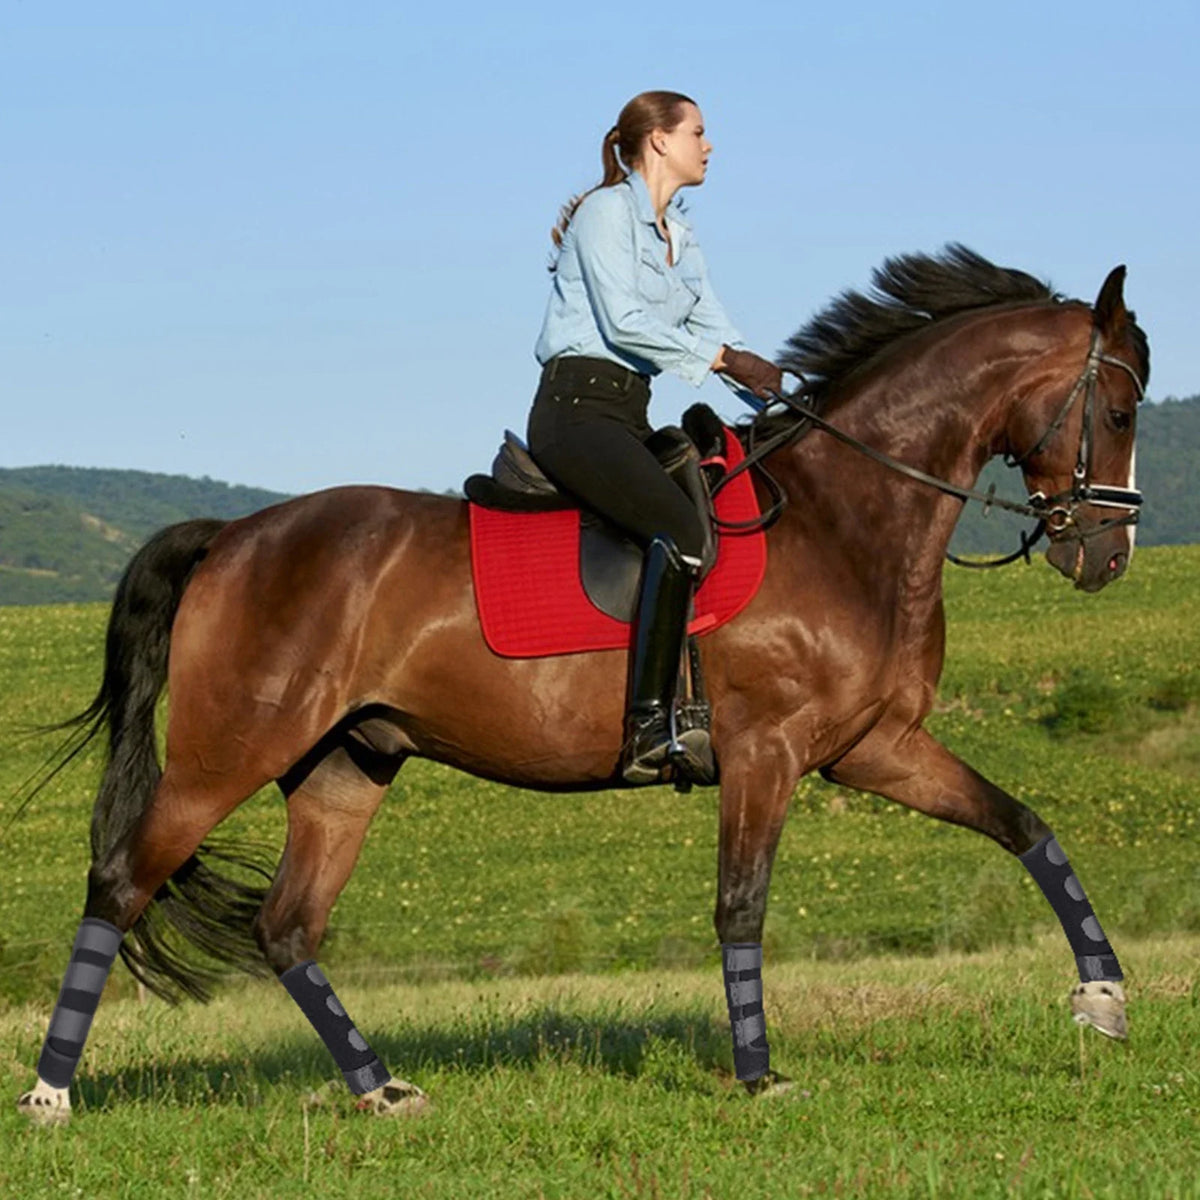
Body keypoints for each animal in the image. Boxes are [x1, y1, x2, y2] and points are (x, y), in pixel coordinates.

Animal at [18, 246, 1148, 1124]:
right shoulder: (767, 752)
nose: (1106, 558)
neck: (847, 517)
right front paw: (758, 1077)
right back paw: (50, 1097)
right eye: (1123, 404)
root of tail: (235, 536)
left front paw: (1102, 998)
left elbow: (1024, 824)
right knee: (121, 882)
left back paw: (379, 1091)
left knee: (287, 926)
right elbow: (740, 907)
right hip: (228, 751)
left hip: (344, 763)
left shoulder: (873, 749)